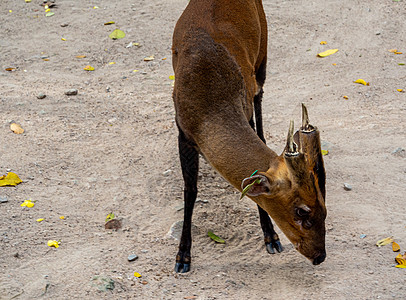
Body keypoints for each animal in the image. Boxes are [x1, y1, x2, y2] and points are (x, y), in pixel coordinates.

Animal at [170, 0, 326, 274]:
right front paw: (182, 257)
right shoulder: (184, 132)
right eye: (301, 211)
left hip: (263, 49)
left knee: (260, 96)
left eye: (325, 207)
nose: (320, 256)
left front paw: (271, 237)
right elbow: (190, 190)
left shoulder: (246, 105)